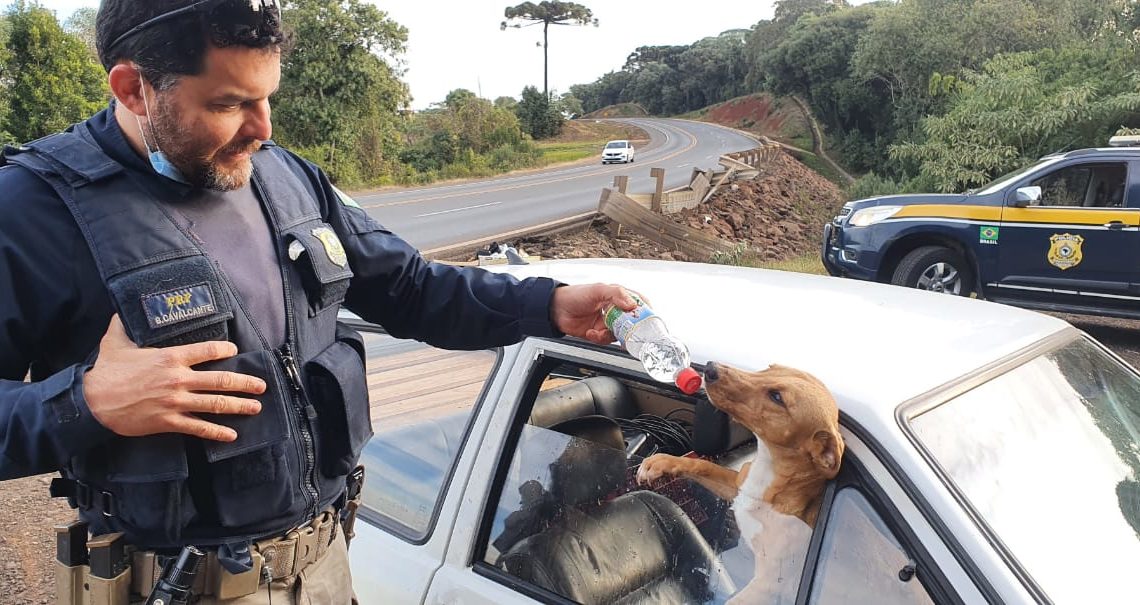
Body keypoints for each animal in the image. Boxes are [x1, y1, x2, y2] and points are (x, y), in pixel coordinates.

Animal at [638, 362, 843, 601]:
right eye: (769, 368)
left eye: (777, 397)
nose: (710, 368)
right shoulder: (737, 487)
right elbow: (702, 465)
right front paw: (662, 462)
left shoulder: (767, 584)